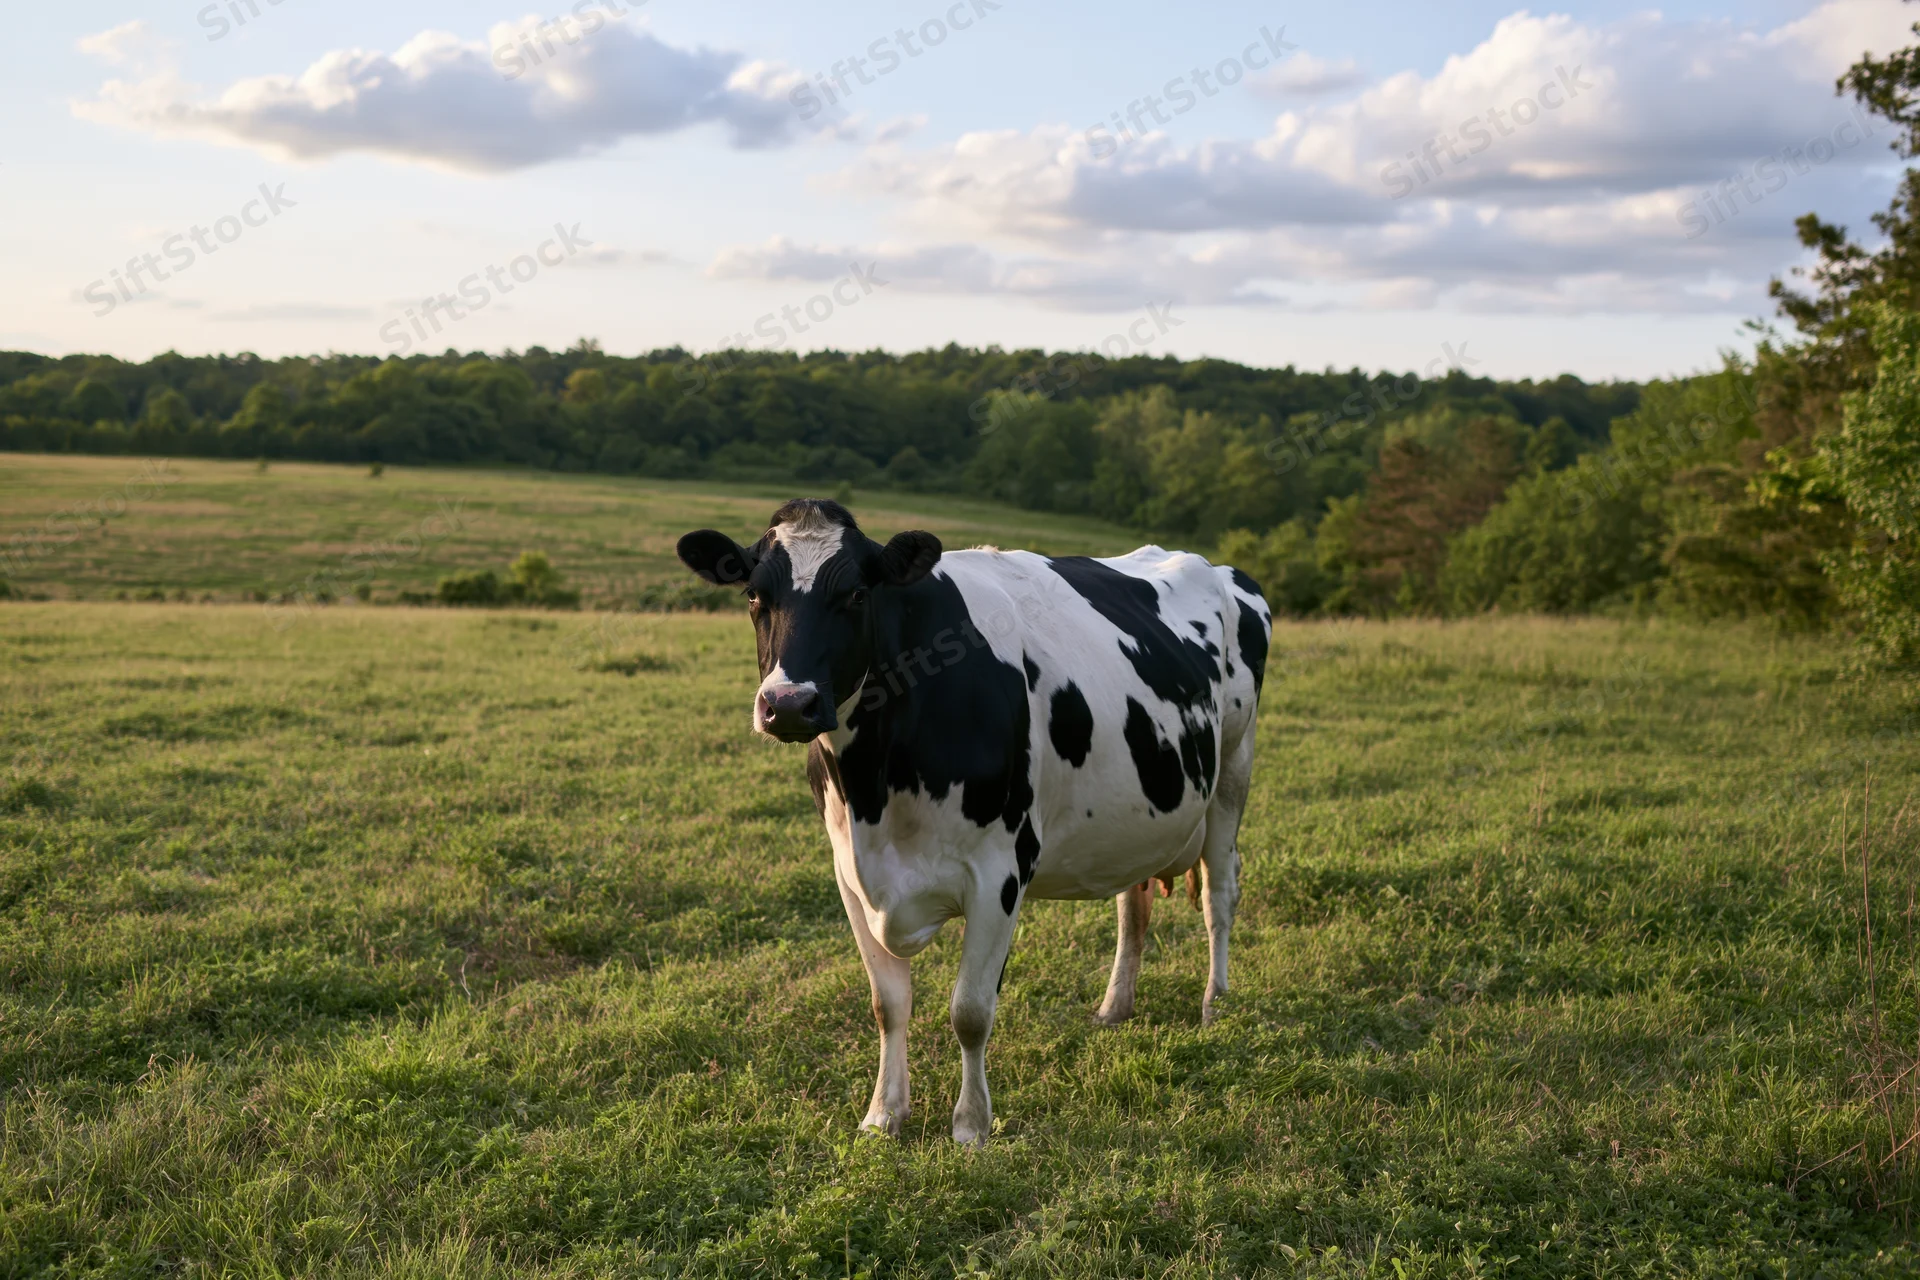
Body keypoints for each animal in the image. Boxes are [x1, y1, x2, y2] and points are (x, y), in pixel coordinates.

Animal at [677, 499, 1269, 1144]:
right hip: (1137, 812)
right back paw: (1115, 1007)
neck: (875, 792)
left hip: (1232, 773)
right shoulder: (850, 875)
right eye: (754, 594)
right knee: (1132, 904)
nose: (788, 705)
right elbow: (888, 1005)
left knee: (1219, 892)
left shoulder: (999, 873)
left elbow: (970, 1010)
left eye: (857, 593)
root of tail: (1217, 567)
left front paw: (970, 1126)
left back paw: (1215, 1002)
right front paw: (883, 1115)